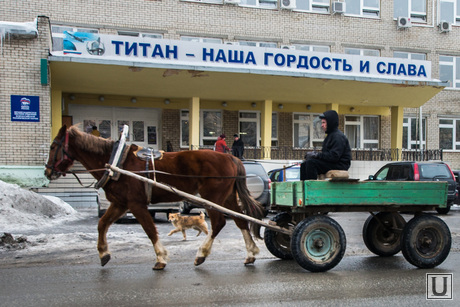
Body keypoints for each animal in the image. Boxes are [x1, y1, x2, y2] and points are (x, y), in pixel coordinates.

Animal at [45, 124, 266, 270]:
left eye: (53, 146)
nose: (47, 172)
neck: (118, 162)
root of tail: (231, 156)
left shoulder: (136, 204)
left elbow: (150, 230)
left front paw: (161, 258)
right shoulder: (120, 203)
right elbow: (102, 224)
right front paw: (103, 253)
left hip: (212, 198)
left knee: (220, 222)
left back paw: (201, 254)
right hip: (226, 198)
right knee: (240, 220)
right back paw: (250, 254)